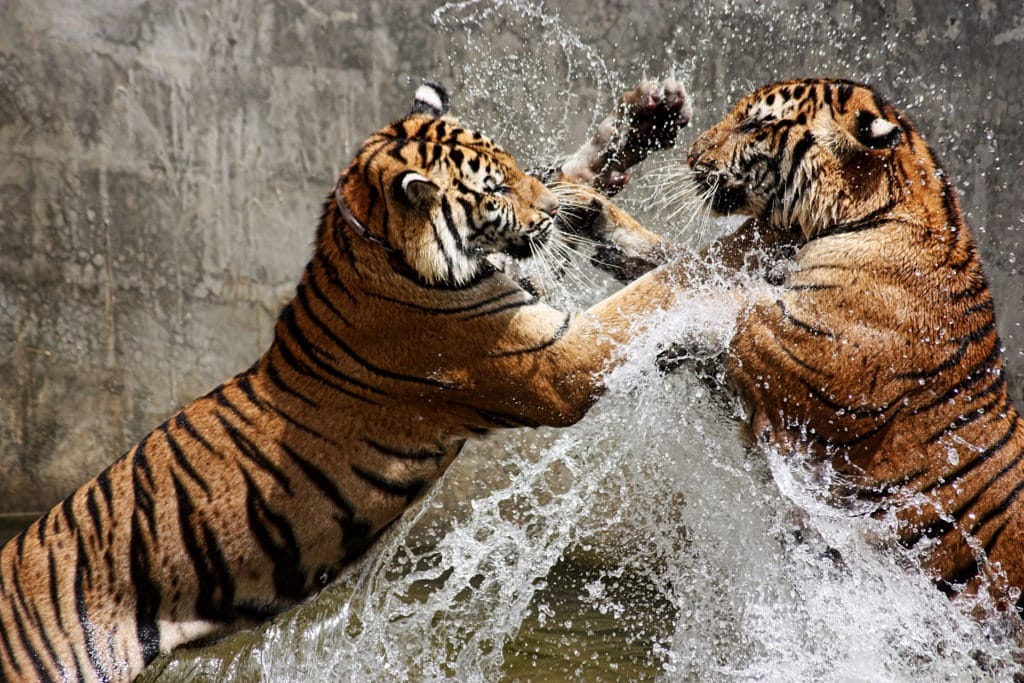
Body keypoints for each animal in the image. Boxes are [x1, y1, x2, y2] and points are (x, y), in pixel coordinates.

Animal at [0, 78, 696, 679]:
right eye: (494, 190)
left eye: (513, 162)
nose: (546, 210)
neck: (374, 243)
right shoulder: (554, 362)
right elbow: (651, 290)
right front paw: (715, 260)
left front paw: (643, 121)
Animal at [577, 78, 1024, 614]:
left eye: (754, 124)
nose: (691, 155)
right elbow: (684, 265)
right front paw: (588, 210)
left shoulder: (804, 359)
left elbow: (714, 298)